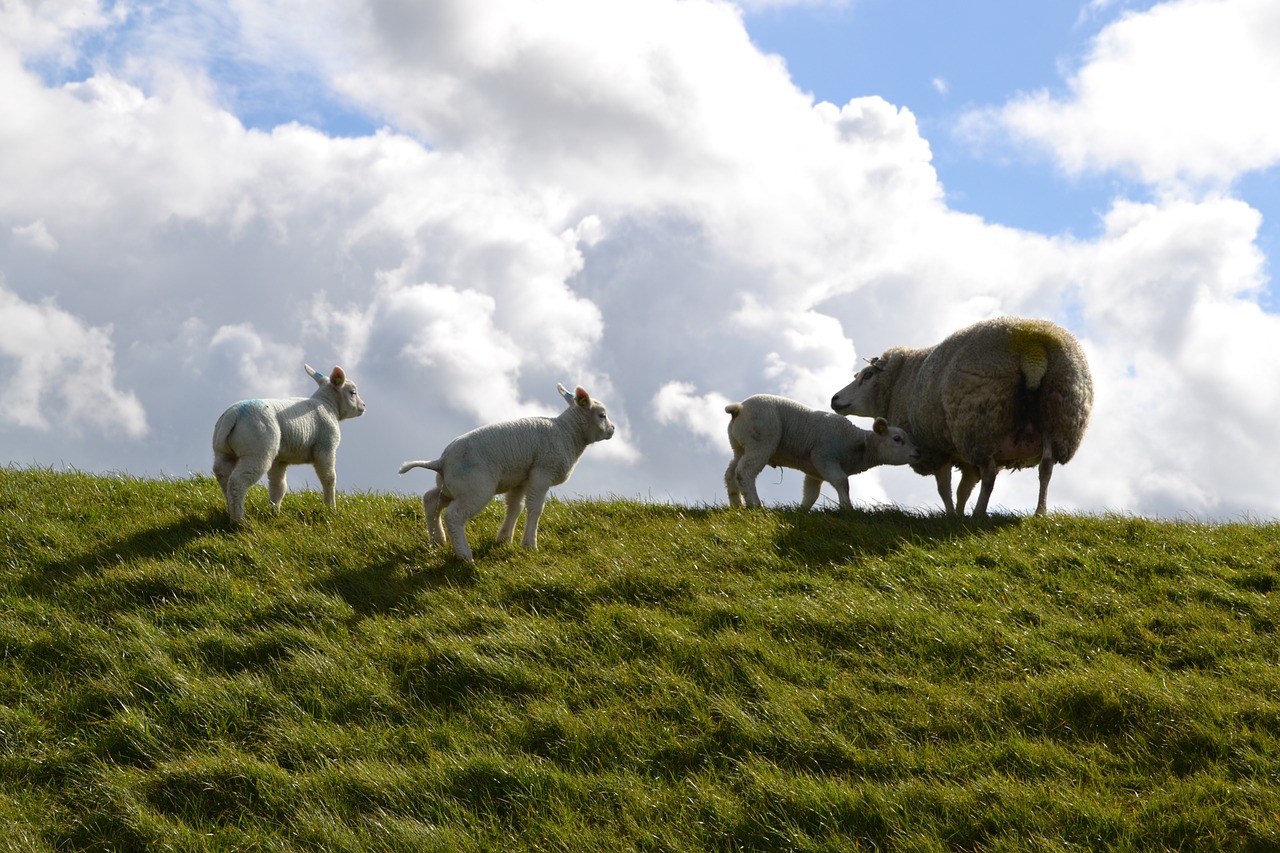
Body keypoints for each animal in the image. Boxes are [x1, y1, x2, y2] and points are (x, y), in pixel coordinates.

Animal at [211, 361, 366, 522]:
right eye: (353, 392)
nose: (363, 406)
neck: (327, 404)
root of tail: (233, 414)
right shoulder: (326, 448)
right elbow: (329, 478)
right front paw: (331, 509)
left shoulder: (280, 460)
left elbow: (278, 486)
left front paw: (274, 512)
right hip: (258, 450)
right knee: (237, 482)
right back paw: (239, 521)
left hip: (223, 451)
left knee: (223, 475)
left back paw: (231, 510)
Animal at [401, 381, 616, 560]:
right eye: (602, 415)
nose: (612, 429)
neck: (567, 433)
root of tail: (442, 460)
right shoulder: (542, 473)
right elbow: (535, 508)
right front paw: (530, 544)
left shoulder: (521, 479)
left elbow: (515, 507)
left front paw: (504, 540)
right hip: (476, 488)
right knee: (453, 516)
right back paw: (465, 556)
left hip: (453, 486)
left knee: (430, 500)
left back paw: (437, 540)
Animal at [721, 389, 921, 504]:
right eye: (897, 439)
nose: (918, 452)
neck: (859, 444)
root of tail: (739, 408)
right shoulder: (824, 457)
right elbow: (842, 482)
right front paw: (848, 509)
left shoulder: (815, 473)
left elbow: (811, 495)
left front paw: (802, 511)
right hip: (761, 442)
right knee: (745, 472)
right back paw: (755, 505)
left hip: (739, 447)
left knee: (731, 473)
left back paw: (736, 505)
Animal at [829, 312, 1090, 512]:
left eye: (867, 376)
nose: (835, 399)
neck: (900, 382)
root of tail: (1032, 347)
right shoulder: (961, 455)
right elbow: (963, 489)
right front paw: (959, 514)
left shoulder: (934, 447)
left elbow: (945, 489)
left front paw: (952, 515)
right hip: (1058, 418)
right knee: (1046, 468)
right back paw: (1039, 512)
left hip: (979, 423)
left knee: (990, 474)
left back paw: (979, 514)